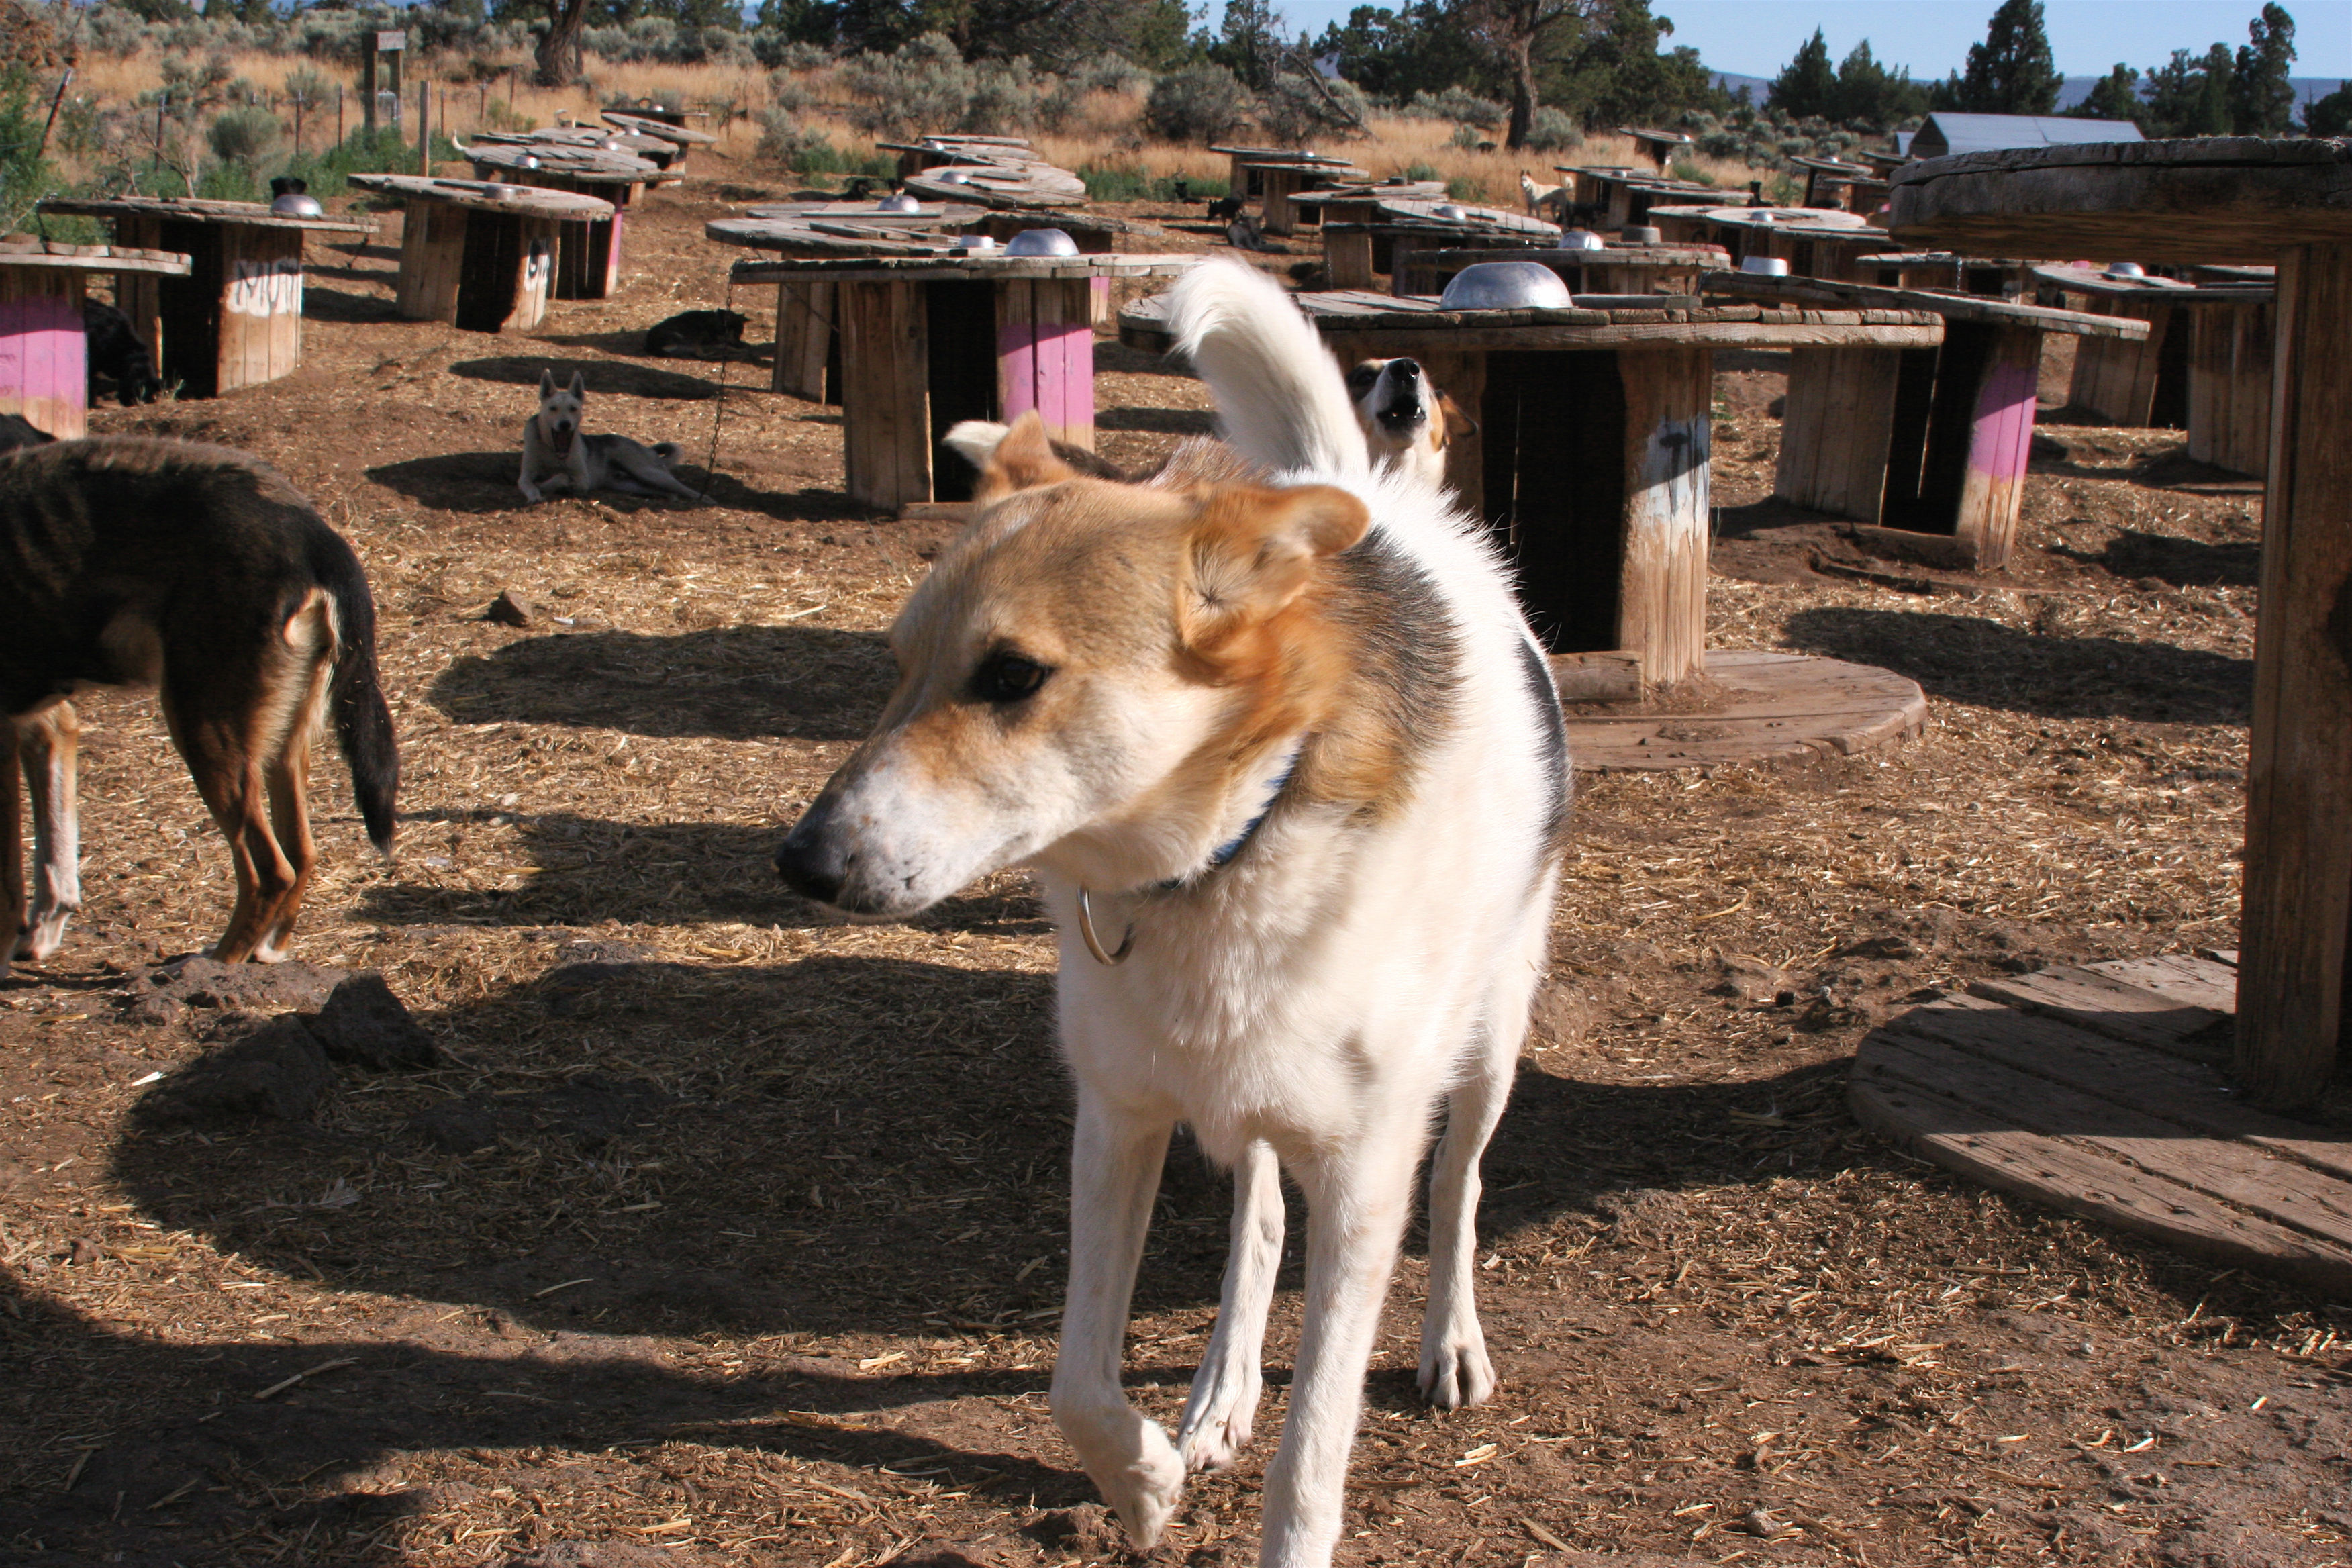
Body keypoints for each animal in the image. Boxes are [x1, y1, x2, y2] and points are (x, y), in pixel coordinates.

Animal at [1, 437, 398, 977]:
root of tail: (315, 534)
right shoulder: (38, 723)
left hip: (201, 729)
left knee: (269, 870)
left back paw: (216, 963)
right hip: (278, 747)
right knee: (301, 854)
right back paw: (261, 952)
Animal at [519, 369, 704, 504]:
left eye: (573, 409)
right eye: (553, 409)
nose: (565, 424)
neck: (553, 449)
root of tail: (648, 449)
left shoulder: (583, 480)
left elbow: (562, 477)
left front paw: (548, 485)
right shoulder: (525, 476)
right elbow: (530, 484)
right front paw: (536, 494)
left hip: (649, 473)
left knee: (688, 491)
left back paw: (704, 500)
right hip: (633, 484)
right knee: (663, 491)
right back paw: (670, 497)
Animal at [644, 308, 749, 361]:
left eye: (741, 333)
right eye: (736, 334)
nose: (740, 344)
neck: (718, 322)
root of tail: (651, 346)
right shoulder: (708, 342)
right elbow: (726, 345)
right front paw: (740, 350)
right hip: (693, 338)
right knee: (701, 355)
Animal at [774, 259, 1569, 1567]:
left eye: (1011, 676)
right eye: (895, 667)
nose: (802, 862)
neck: (1222, 854)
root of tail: (1360, 497)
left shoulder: (1365, 1177)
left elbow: (1312, 1461)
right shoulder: (1121, 1114)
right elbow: (1075, 1383)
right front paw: (1142, 1484)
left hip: (1489, 1040)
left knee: (1457, 1192)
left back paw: (1448, 1336)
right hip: (1238, 1096)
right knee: (1256, 1224)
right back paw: (1219, 1389)